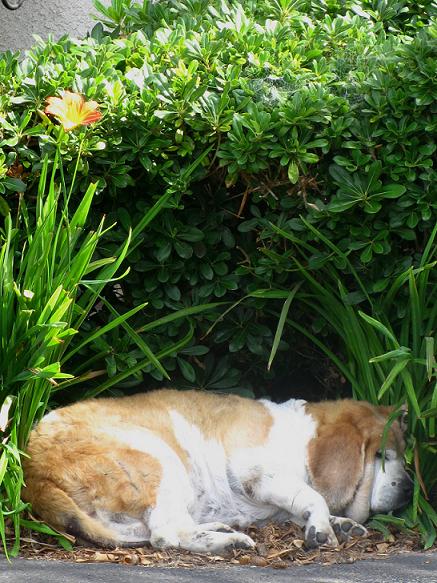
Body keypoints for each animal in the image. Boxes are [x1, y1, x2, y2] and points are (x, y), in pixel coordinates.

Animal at [23, 390, 412, 556]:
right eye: (381, 455)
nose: (409, 488)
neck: (300, 438)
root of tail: (33, 473)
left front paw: (339, 524)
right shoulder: (259, 473)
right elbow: (313, 496)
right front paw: (322, 528)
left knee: (154, 530)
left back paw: (221, 529)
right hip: (162, 460)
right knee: (165, 535)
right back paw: (229, 542)